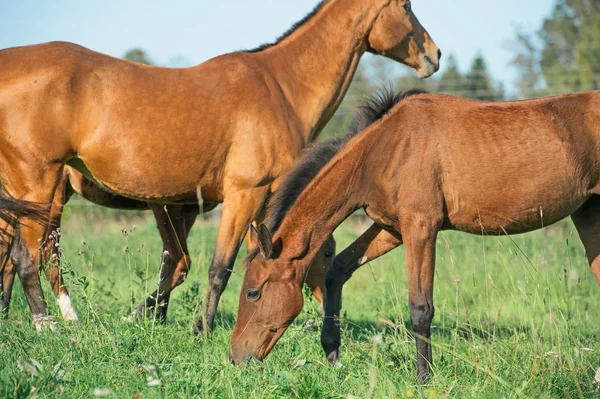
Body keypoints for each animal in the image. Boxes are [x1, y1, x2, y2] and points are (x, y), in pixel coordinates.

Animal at [0, 0, 440, 332]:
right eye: (406, 5)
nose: (434, 55)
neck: (281, 87)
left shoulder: (258, 202)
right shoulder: (244, 194)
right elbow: (218, 267)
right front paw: (202, 330)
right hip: (41, 186)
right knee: (27, 256)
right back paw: (48, 323)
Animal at [229, 89, 600, 382]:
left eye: (252, 293)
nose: (235, 357)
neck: (386, 147)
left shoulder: (421, 228)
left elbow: (421, 308)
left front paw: (424, 378)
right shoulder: (391, 229)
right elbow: (338, 270)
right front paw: (332, 354)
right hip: (587, 215)